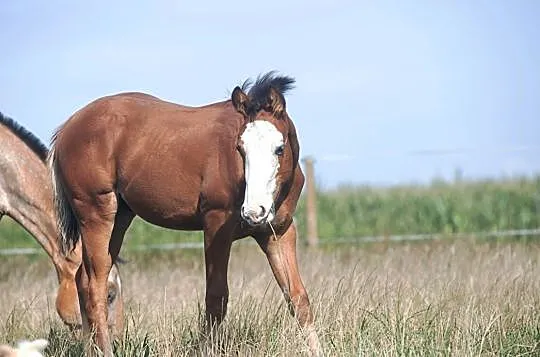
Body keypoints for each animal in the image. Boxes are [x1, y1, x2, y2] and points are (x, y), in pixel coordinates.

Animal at [47, 71, 320, 354]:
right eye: (240, 148)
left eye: (279, 148)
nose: (254, 211)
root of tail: (66, 128)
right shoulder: (216, 225)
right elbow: (216, 298)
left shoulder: (278, 232)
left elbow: (297, 296)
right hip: (96, 213)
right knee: (95, 285)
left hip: (120, 218)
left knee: (83, 279)